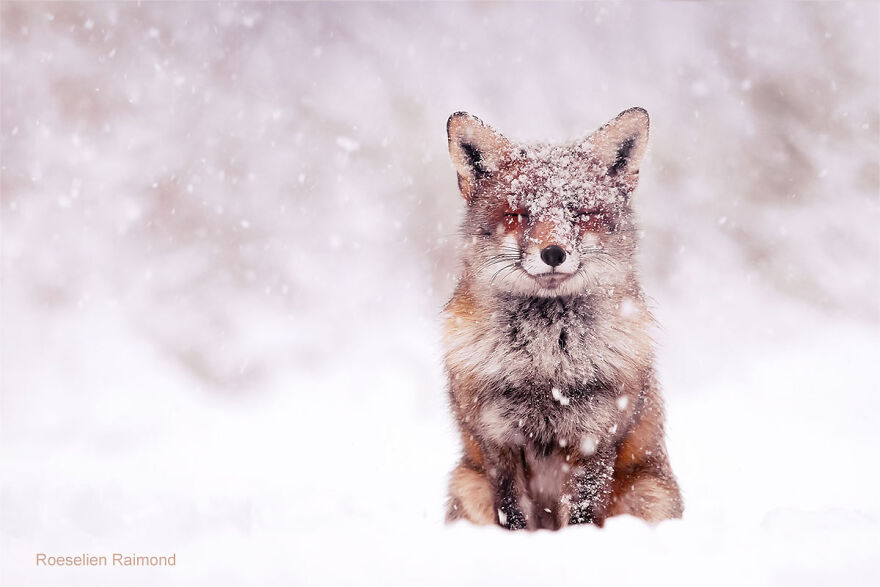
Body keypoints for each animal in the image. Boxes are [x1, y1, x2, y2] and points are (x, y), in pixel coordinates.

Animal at [442, 108, 683, 530]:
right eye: (518, 214)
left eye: (581, 213)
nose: (553, 253)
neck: (546, 364)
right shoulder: (498, 439)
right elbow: (512, 514)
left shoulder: (596, 435)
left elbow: (584, 513)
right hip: (466, 483)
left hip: (648, 494)